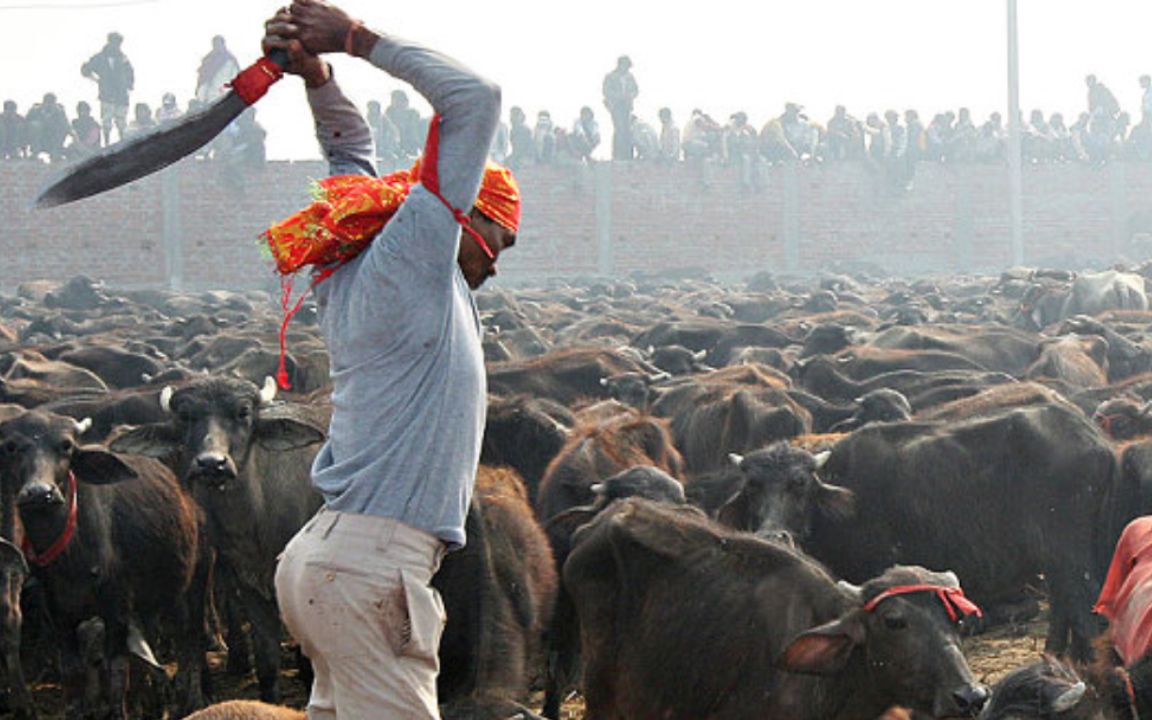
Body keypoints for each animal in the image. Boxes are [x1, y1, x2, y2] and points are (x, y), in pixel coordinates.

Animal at [108, 375, 327, 700]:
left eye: (243, 412)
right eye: (186, 416)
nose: (212, 463)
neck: (255, 519)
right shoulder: (249, 585)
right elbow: (267, 663)